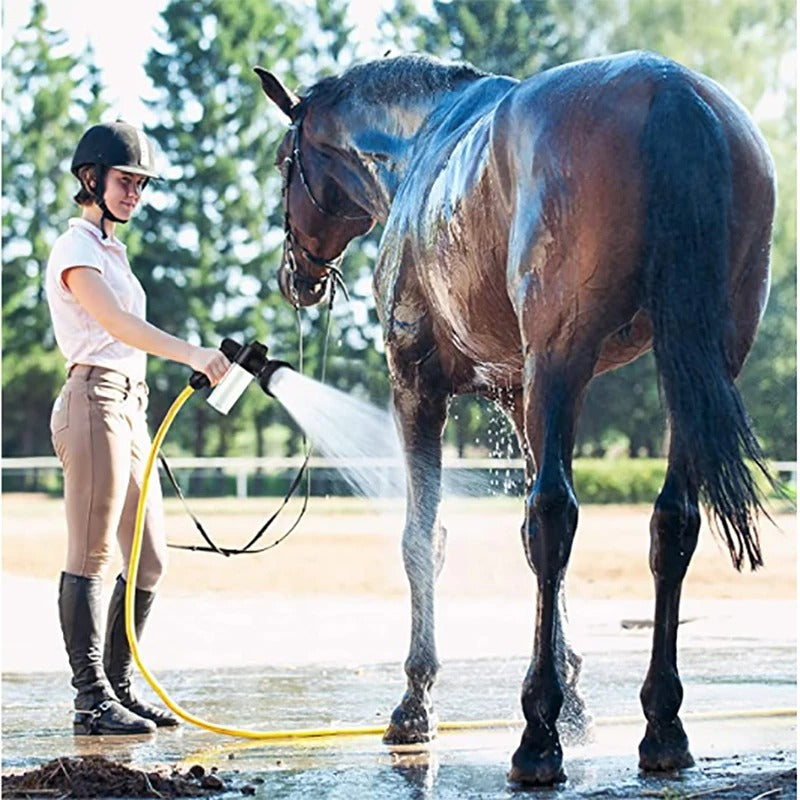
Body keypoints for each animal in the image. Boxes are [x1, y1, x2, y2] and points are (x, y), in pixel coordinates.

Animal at [255, 51, 776, 788]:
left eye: (283, 161)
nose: (295, 276)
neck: (419, 144)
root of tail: (670, 88)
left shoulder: (417, 383)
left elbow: (426, 538)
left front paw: (417, 702)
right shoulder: (522, 395)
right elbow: (530, 546)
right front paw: (577, 698)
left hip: (566, 353)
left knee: (555, 515)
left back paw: (537, 737)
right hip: (698, 360)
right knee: (670, 522)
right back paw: (661, 726)